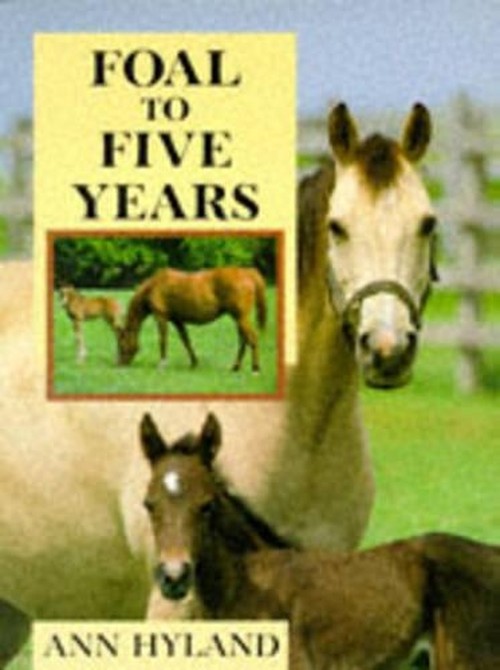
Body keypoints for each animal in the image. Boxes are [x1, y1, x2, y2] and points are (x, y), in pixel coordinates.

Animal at [116, 266, 267, 372]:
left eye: (121, 344)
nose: (120, 364)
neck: (153, 286)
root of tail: (247, 273)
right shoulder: (177, 320)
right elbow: (186, 340)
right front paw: (194, 362)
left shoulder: (161, 317)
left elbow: (163, 340)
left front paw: (162, 364)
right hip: (238, 318)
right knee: (243, 340)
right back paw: (236, 367)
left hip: (240, 317)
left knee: (252, 338)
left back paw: (255, 368)